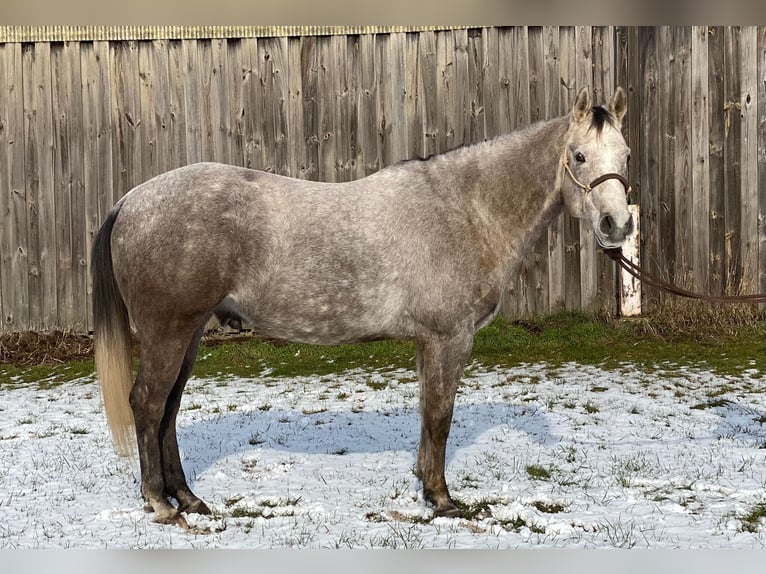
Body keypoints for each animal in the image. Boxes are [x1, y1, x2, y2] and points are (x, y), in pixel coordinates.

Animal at [92, 87, 633, 527]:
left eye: (625, 155)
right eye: (579, 155)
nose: (617, 225)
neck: (464, 210)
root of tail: (130, 201)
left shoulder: (428, 342)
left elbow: (427, 412)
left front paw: (425, 486)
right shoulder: (450, 338)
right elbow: (441, 415)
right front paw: (443, 500)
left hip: (190, 333)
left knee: (168, 409)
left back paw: (188, 498)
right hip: (169, 332)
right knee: (148, 403)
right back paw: (160, 503)